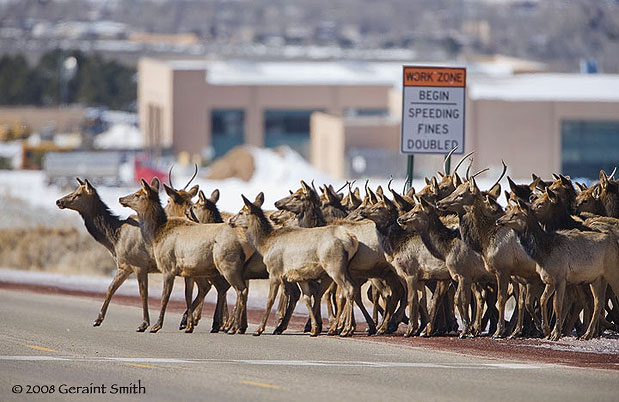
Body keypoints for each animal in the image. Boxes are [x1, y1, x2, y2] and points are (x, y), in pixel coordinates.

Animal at [118, 178, 249, 332]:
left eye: (137, 194)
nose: (121, 198)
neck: (156, 234)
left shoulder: (168, 267)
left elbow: (165, 297)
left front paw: (156, 326)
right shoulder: (188, 271)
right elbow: (188, 296)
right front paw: (189, 325)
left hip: (226, 265)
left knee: (240, 290)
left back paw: (232, 327)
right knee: (229, 288)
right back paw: (227, 325)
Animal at [496, 201, 619, 340]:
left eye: (516, 214)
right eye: (509, 211)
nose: (498, 221)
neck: (543, 253)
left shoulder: (561, 278)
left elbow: (557, 304)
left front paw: (555, 334)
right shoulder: (549, 279)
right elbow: (543, 300)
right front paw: (546, 330)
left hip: (612, 271)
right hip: (597, 279)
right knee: (598, 303)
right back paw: (587, 334)